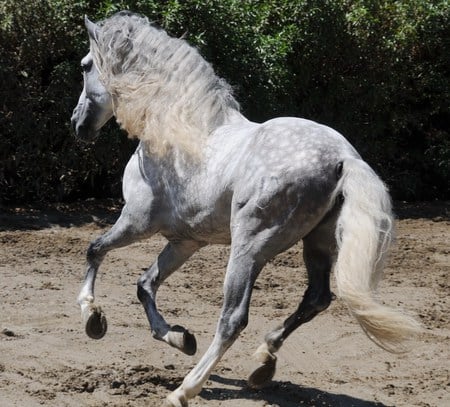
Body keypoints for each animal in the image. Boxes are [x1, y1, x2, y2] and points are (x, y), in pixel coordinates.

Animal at [69, 11, 418, 406]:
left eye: (85, 66)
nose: (77, 124)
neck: (177, 131)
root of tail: (345, 159)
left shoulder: (136, 221)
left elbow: (95, 250)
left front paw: (92, 317)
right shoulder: (185, 241)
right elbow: (145, 285)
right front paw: (179, 338)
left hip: (248, 248)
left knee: (233, 318)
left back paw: (185, 389)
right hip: (316, 244)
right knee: (316, 299)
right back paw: (263, 362)